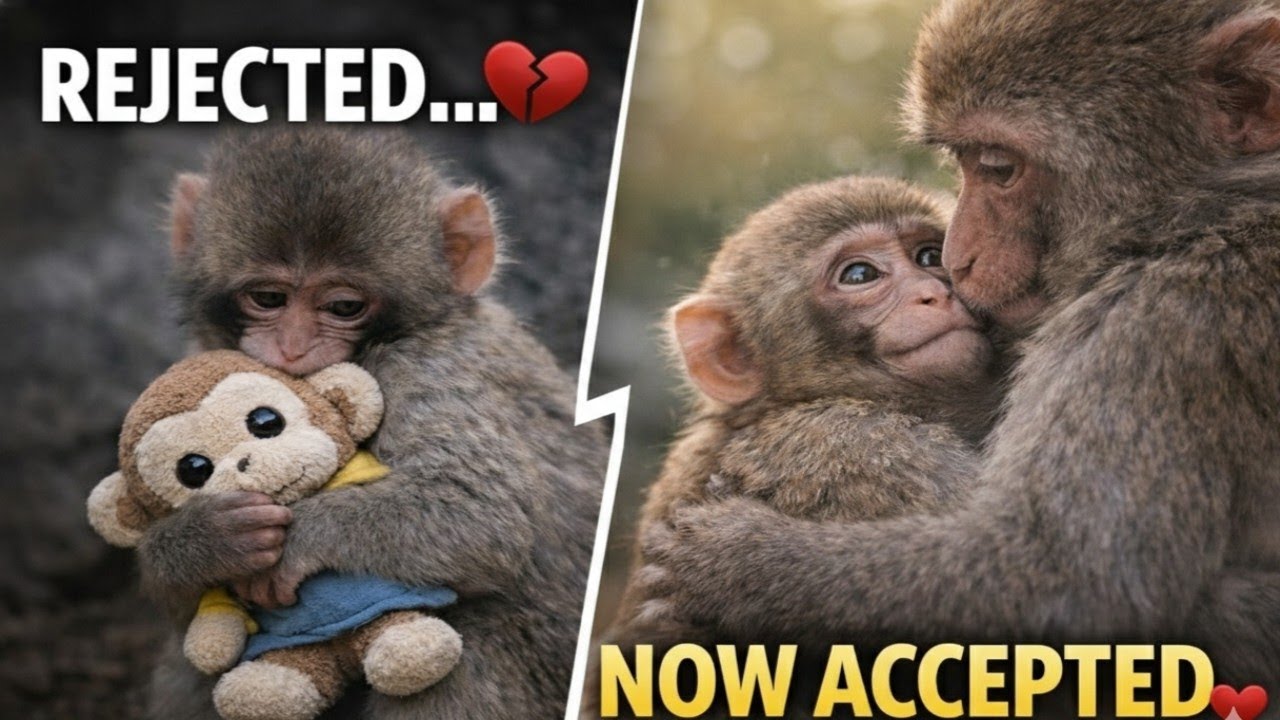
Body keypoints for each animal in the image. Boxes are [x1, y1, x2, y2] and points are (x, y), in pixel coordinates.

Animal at [133, 128, 609, 719]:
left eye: (343, 306)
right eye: (268, 298)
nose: (292, 348)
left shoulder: (427, 368)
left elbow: (480, 514)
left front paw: (294, 541)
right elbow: (186, 616)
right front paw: (204, 540)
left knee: (469, 648)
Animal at [632, 0, 1280, 699]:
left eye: (997, 167)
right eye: (859, 275)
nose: (949, 269)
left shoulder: (1156, 323)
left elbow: (1069, 584)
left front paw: (736, 565)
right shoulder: (850, 443)